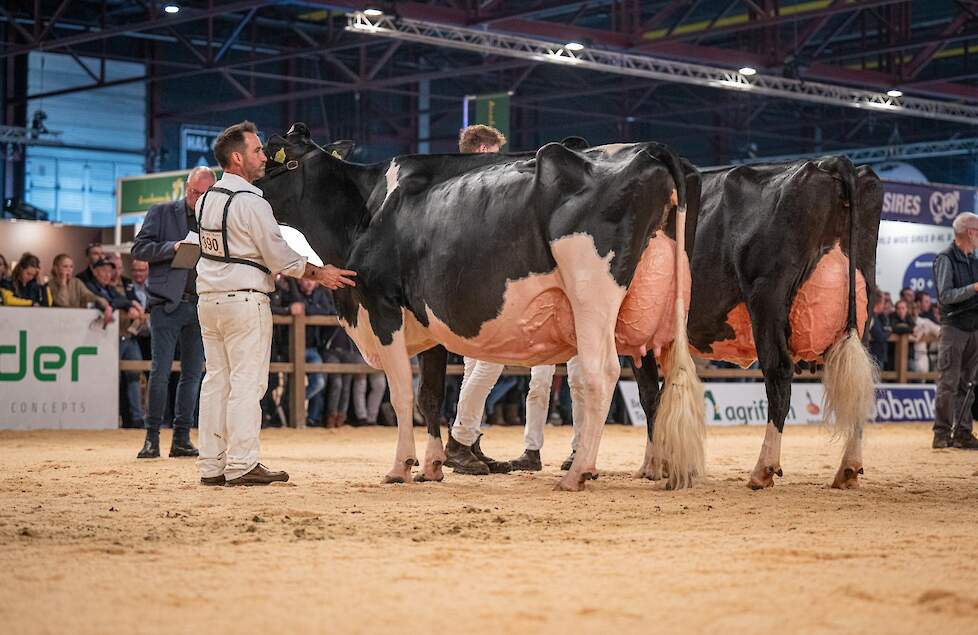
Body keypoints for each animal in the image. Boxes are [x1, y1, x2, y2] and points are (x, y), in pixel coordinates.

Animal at [260, 123, 700, 492]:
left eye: (272, 156)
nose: (245, 183)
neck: (367, 209)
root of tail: (649, 148)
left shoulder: (382, 305)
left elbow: (401, 394)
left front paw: (401, 466)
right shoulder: (429, 323)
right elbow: (430, 396)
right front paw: (432, 466)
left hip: (591, 292)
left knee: (601, 373)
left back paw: (578, 472)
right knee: (654, 387)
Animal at [628, 157, 880, 490]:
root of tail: (829, 163)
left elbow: (649, 396)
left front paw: (653, 466)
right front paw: (674, 465)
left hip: (767, 297)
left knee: (779, 375)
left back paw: (763, 469)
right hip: (863, 306)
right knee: (859, 384)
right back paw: (848, 469)